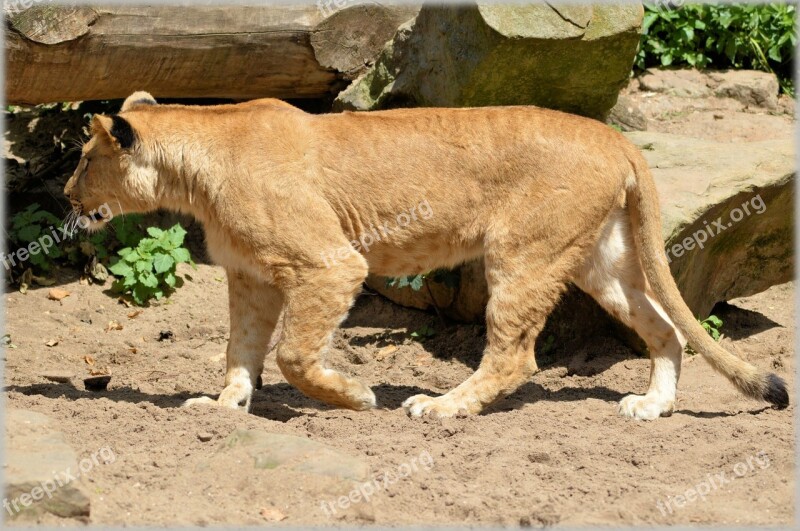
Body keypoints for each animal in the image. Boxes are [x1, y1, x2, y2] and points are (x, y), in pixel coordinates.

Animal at [62, 93, 788, 422]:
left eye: (85, 159)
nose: (67, 194)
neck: (196, 169)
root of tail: (612, 134)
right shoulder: (249, 276)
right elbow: (239, 350)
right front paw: (222, 406)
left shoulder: (329, 264)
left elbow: (293, 353)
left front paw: (354, 396)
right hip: (598, 262)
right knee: (666, 328)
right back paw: (651, 406)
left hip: (521, 255)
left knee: (514, 354)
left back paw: (441, 407)